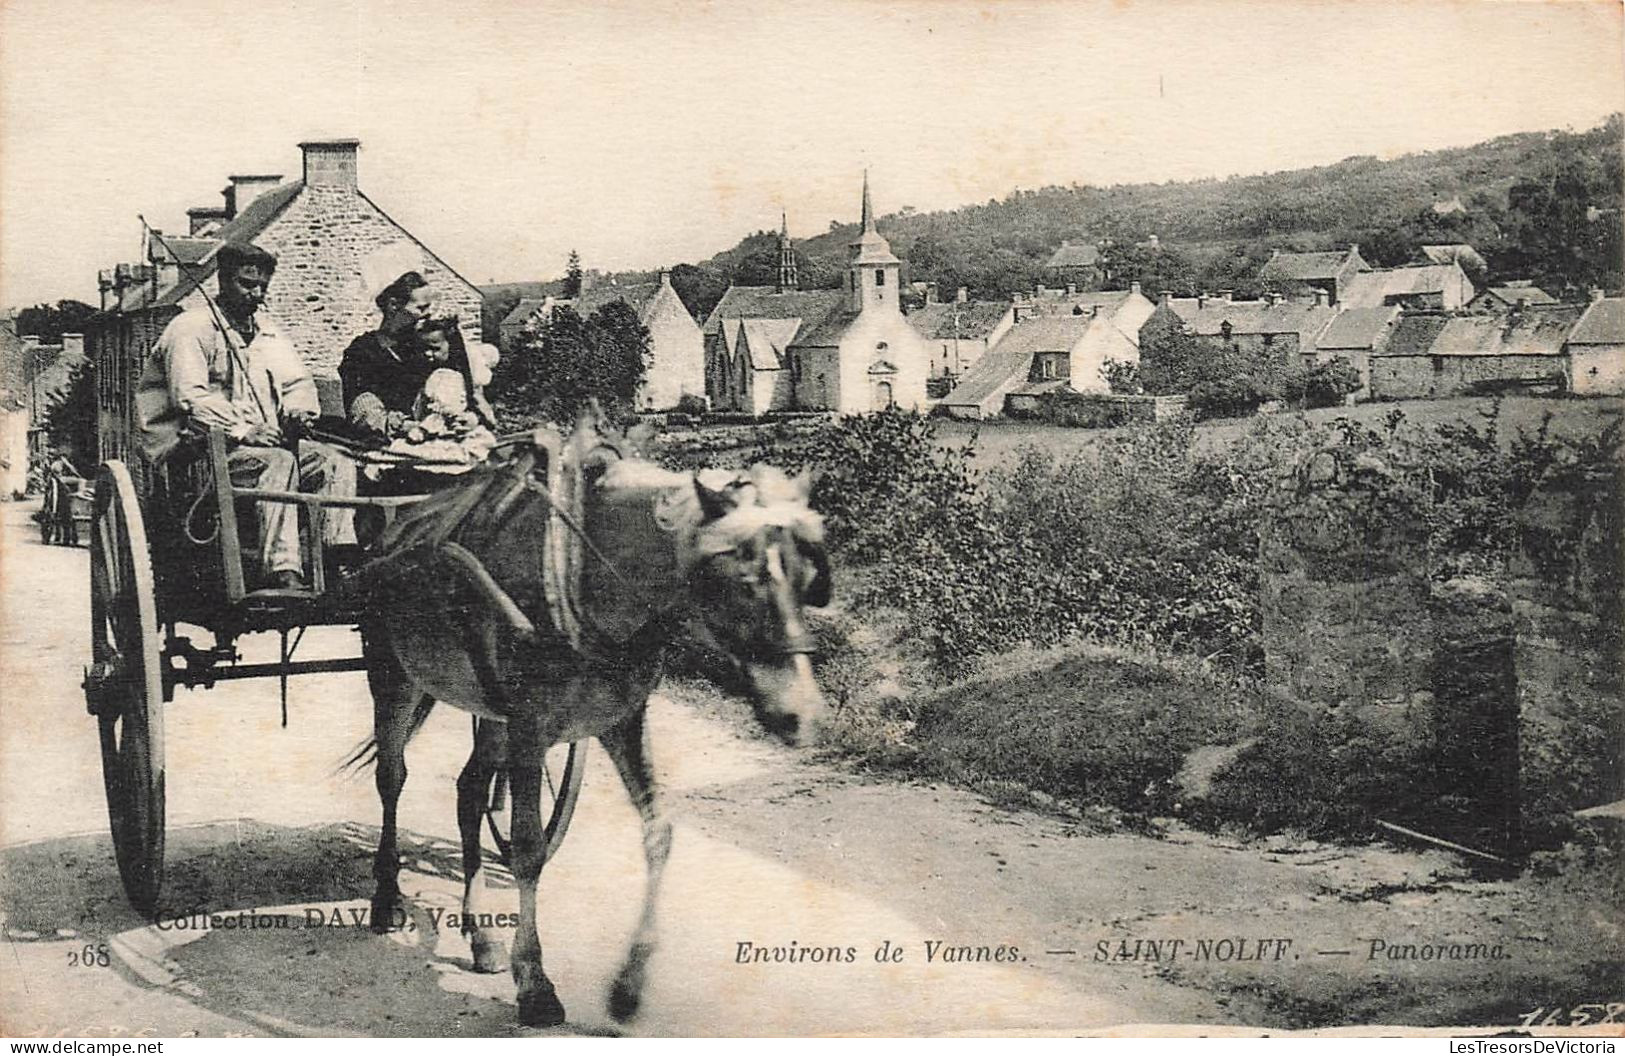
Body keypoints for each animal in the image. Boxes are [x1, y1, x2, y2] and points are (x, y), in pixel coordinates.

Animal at [360, 415, 832, 1026]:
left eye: (807, 578)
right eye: (742, 582)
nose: (803, 715)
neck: (582, 574)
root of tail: (392, 534)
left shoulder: (622, 720)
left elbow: (659, 834)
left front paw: (629, 985)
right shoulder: (531, 728)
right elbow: (528, 848)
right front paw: (535, 982)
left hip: (490, 710)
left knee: (469, 791)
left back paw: (480, 936)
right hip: (393, 678)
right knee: (392, 780)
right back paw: (387, 899)